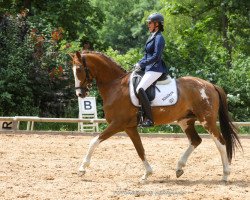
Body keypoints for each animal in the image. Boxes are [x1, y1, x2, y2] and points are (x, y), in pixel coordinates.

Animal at [69, 50, 241, 183]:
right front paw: (147, 174)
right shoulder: (129, 127)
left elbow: (94, 141)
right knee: (195, 140)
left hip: (207, 121)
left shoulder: (117, 124)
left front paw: (82, 168)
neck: (115, 86)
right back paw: (179, 168)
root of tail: (210, 85)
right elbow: (140, 150)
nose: (80, 94)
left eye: (79, 69)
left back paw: (225, 175)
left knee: (220, 142)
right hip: (185, 121)